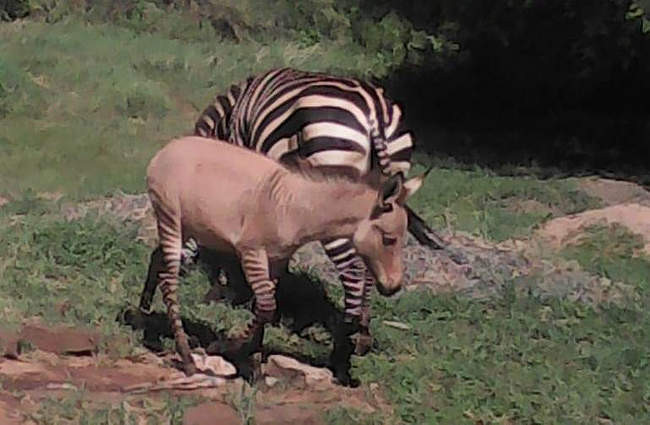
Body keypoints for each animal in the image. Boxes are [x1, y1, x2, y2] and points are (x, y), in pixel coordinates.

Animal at [139, 66, 442, 356]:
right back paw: (361, 334)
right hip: (392, 169)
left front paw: (227, 288)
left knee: (354, 270)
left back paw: (343, 343)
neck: (229, 118)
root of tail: (374, 111)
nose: (145, 302)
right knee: (366, 266)